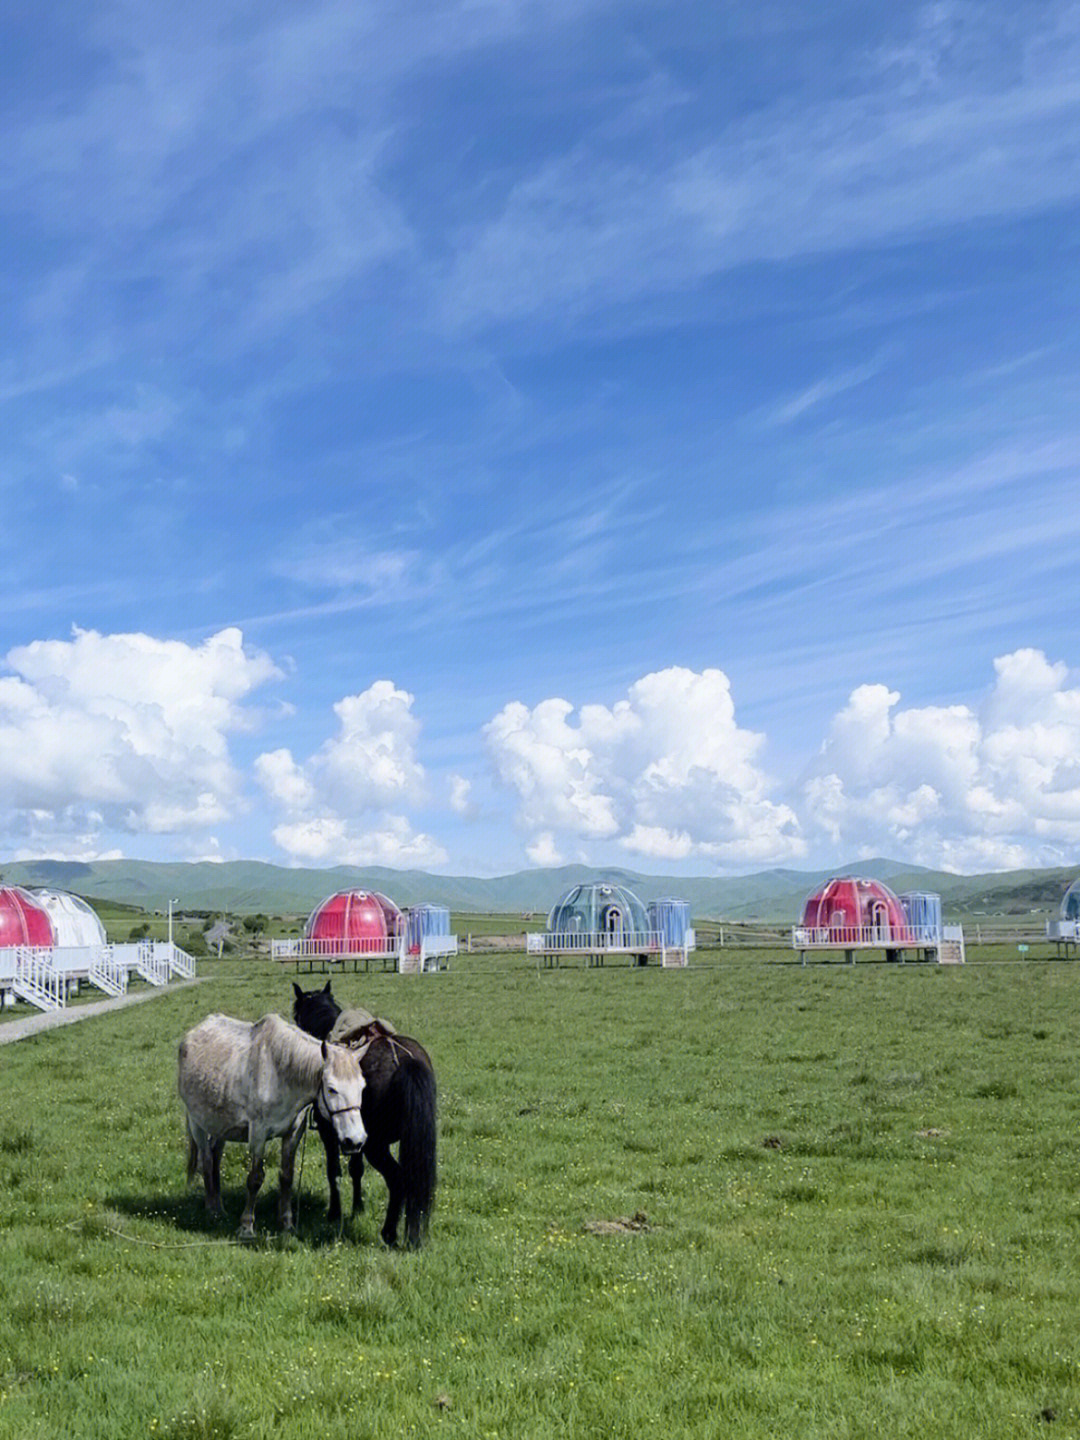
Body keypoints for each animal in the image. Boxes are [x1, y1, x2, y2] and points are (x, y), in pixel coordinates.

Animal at [180, 1013, 371, 1238]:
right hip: (197, 1124)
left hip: (220, 1127)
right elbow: (255, 1178)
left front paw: (287, 1223)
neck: (280, 1073)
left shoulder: (293, 1134)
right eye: (332, 1089)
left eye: (362, 1087)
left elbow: (287, 1177)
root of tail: (192, 1034)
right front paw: (246, 1226)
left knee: (215, 1158)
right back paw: (212, 1210)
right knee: (207, 1161)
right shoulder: (258, 1134)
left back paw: (219, 1206)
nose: (355, 1140)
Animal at [293, 979, 437, 1249]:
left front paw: (334, 1212)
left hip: (376, 1146)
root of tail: (405, 1063)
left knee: (398, 1179)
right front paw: (357, 1207)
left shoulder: (331, 1134)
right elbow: (355, 1169)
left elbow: (333, 1170)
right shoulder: (353, 1137)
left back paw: (390, 1233)